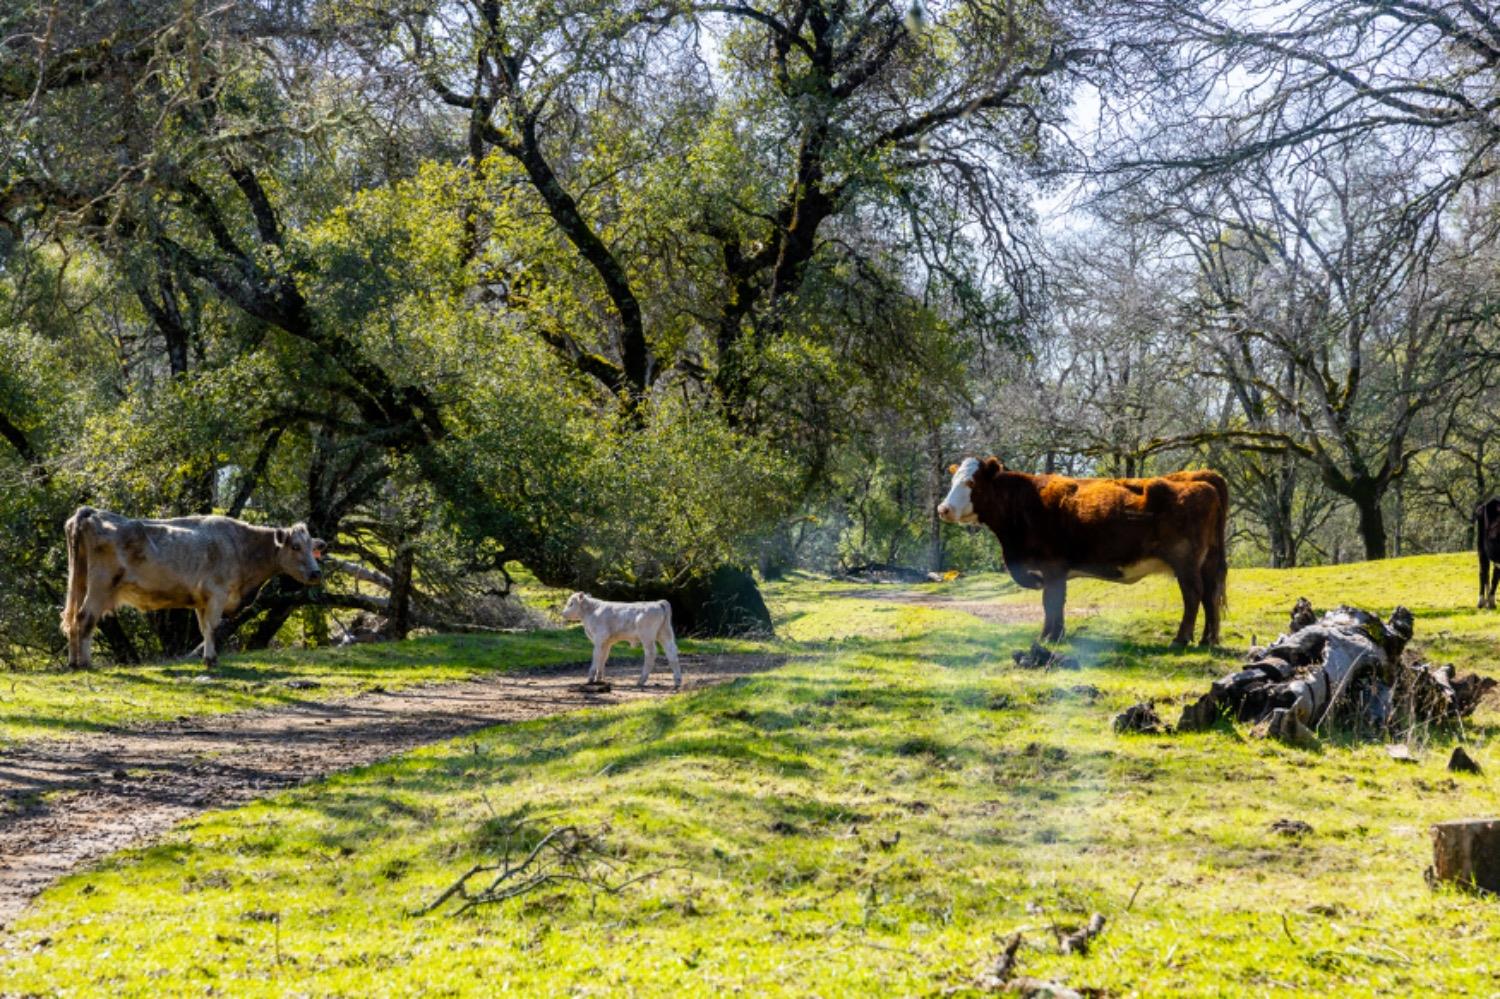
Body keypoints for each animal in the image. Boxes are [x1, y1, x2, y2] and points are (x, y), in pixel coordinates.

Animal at [63, 507, 325, 669]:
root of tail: (91, 512)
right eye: (295, 546)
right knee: (85, 617)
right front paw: (212, 660)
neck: (239, 546)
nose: (316, 573)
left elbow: (203, 628)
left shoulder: (202, 600)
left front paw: (208, 658)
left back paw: (74, 663)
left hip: (80, 581)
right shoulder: (218, 594)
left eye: (312, 548)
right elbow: (213, 627)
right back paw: (85, 663)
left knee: (73, 619)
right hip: (101, 585)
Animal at [936, 456, 1230, 642]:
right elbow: (1054, 604)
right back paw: (1208, 640)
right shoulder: (1055, 571)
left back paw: (1181, 639)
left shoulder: (1052, 567)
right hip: (1207, 562)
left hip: (1185, 561)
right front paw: (1053, 634)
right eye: (952, 482)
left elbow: (1051, 602)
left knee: (1193, 595)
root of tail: (1199, 476)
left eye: (971, 483)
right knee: (1210, 596)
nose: (943, 509)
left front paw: (1049, 637)